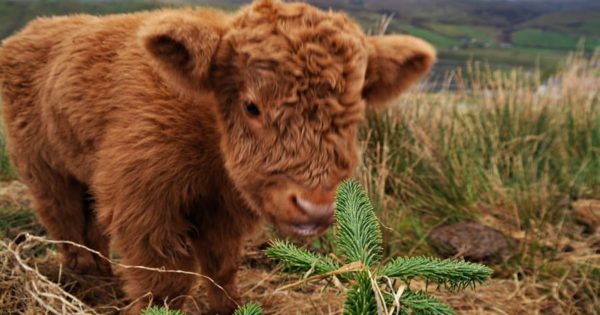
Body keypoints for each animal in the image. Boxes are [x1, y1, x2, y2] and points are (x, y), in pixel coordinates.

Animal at [0, 0, 434, 314]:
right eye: (252, 106)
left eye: (354, 113)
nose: (313, 207)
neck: (210, 139)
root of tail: (36, 28)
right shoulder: (143, 204)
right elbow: (165, 282)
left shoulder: (225, 210)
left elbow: (221, 268)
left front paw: (228, 307)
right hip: (43, 167)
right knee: (64, 219)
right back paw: (85, 282)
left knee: (89, 229)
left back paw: (101, 279)